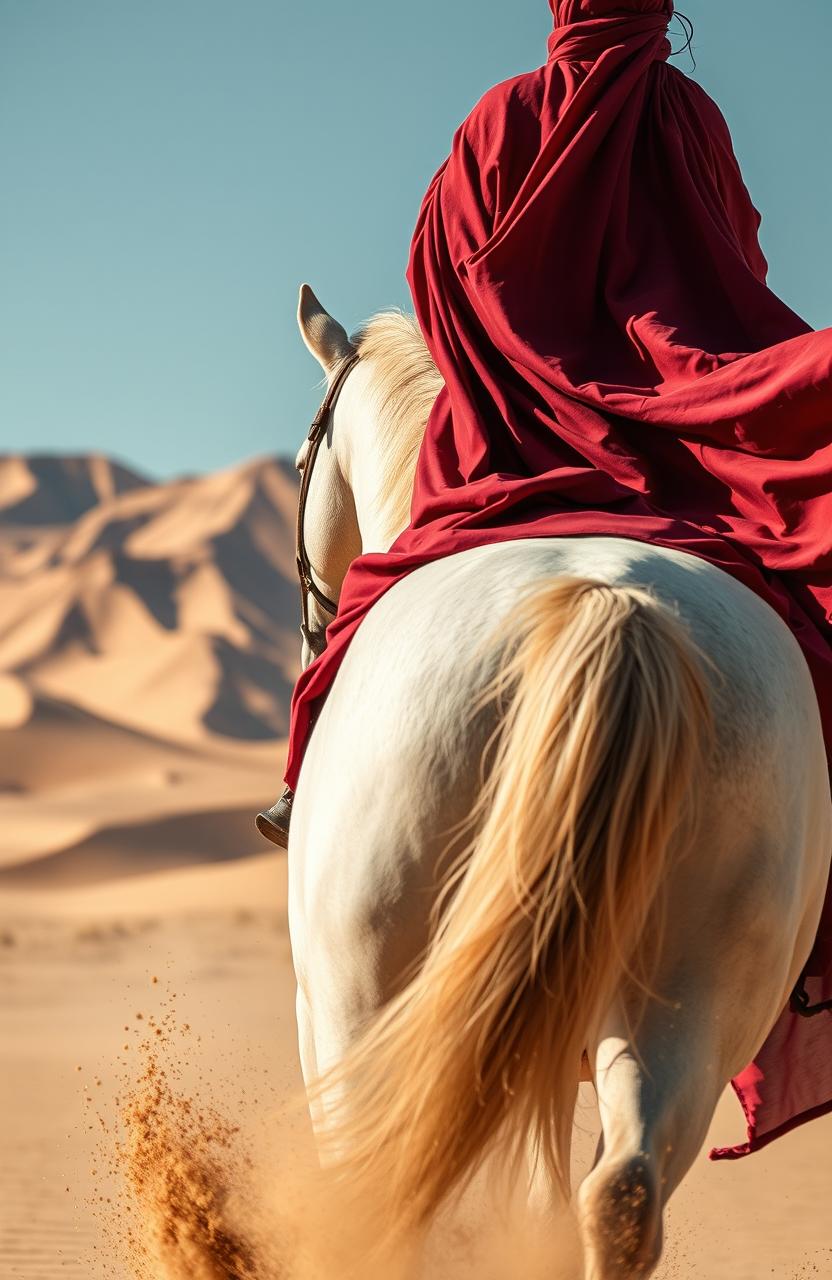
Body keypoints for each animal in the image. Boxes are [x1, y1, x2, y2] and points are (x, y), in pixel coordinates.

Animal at [285, 285, 829, 1274]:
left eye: (304, 458)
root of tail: (613, 606)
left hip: (362, 996)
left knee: (378, 1200)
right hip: (693, 1000)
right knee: (622, 1192)